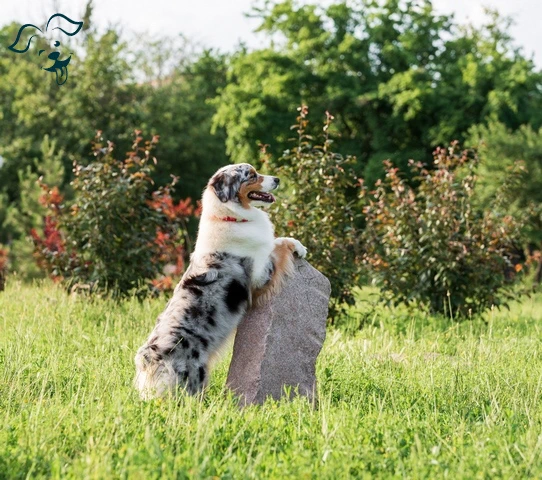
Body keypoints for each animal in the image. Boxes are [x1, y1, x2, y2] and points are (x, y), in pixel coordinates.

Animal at [134, 163, 308, 400]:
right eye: (251, 175)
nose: (277, 179)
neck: (228, 216)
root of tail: (148, 360)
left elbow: (276, 241)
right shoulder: (260, 277)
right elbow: (276, 247)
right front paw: (297, 246)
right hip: (194, 377)